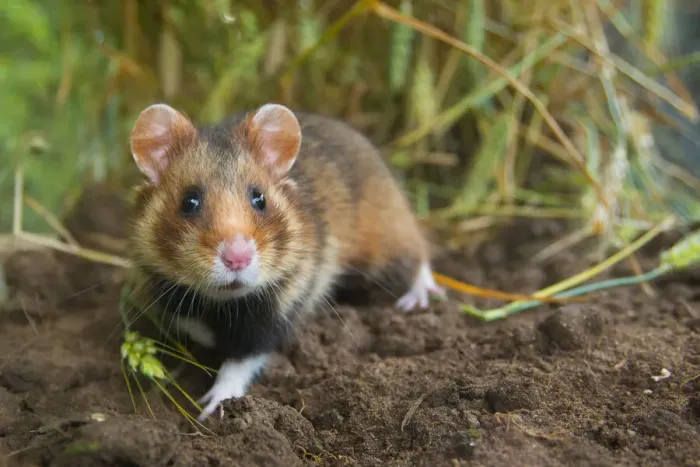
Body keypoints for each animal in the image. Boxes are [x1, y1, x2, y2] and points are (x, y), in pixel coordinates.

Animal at [128, 103, 445, 421]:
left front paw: (211, 409)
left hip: (386, 241)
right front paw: (209, 339)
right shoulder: (160, 288)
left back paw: (417, 300)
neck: (225, 304)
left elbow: (241, 362)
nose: (238, 259)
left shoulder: (280, 309)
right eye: (189, 201)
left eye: (259, 199)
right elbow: (189, 322)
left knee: (417, 257)